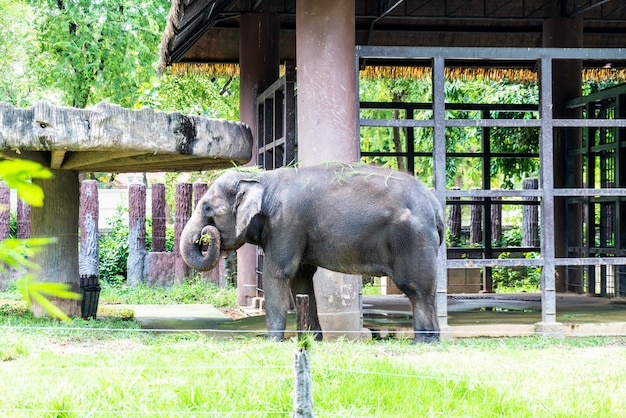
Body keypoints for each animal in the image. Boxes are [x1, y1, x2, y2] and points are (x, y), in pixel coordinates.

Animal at [180, 162, 444, 342]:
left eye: (207, 208)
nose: (205, 236)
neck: (262, 177)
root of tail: (436, 205)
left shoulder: (286, 222)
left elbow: (278, 273)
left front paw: (273, 341)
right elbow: (301, 279)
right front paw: (311, 339)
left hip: (413, 238)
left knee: (417, 288)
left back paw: (424, 342)